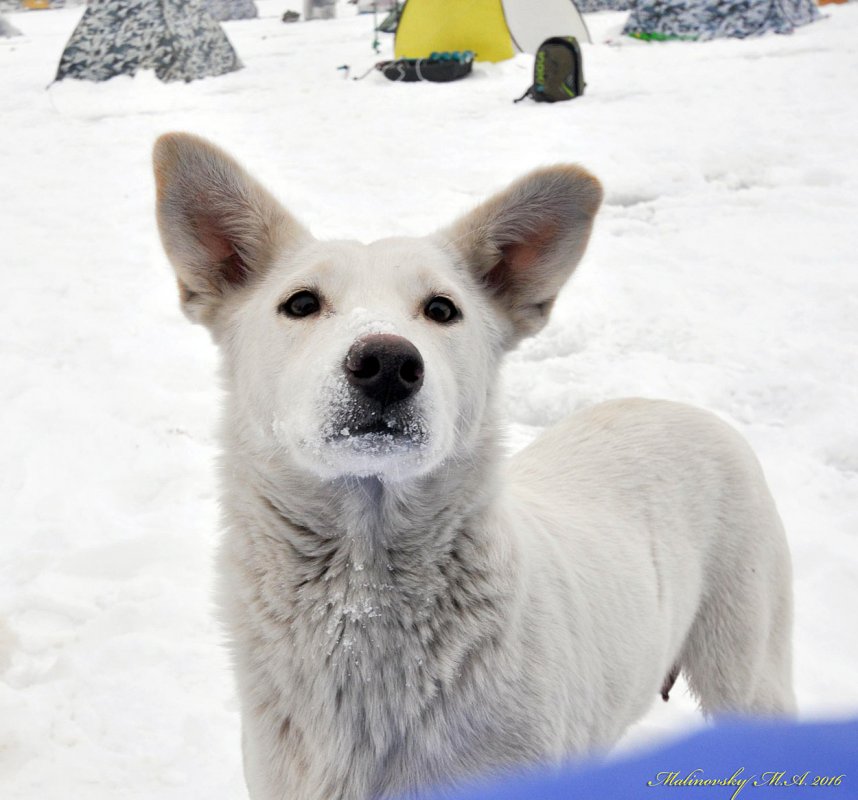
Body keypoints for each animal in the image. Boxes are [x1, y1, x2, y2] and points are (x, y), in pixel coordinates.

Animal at [150, 134, 792, 800]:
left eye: (441, 309)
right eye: (300, 303)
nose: (387, 363)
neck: (365, 591)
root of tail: (681, 407)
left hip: (749, 674)